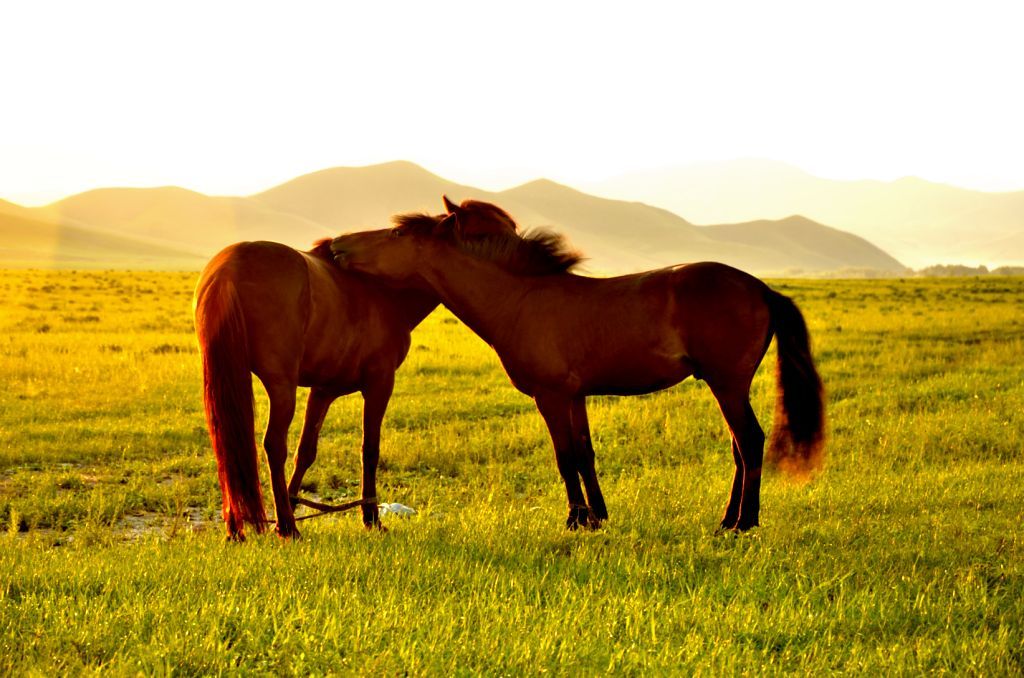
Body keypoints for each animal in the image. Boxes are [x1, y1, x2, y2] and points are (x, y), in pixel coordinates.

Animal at [192, 238, 436, 540]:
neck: (383, 295)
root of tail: (227, 270)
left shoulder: (323, 390)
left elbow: (306, 450)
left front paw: (292, 501)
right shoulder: (379, 383)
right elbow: (370, 449)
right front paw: (371, 518)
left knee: (227, 447)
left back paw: (239, 529)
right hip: (281, 386)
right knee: (274, 444)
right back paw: (288, 527)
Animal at [331, 199, 827, 532]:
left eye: (396, 234)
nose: (336, 245)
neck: (520, 300)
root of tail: (761, 288)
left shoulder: (551, 396)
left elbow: (564, 456)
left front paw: (574, 519)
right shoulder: (575, 396)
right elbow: (585, 453)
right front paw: (597, 516)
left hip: (728, 384)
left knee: (750, 442)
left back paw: (744, 522)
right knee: (740, 448)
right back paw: (727, 521)